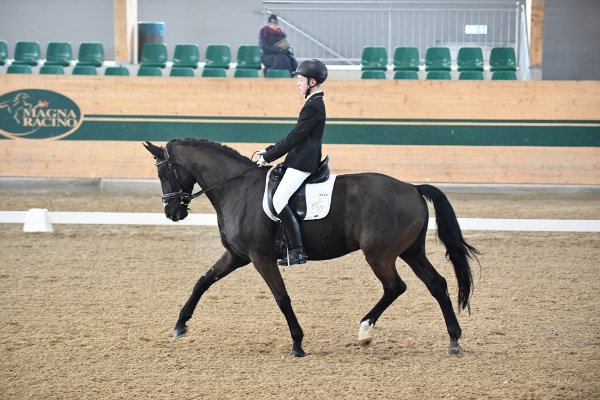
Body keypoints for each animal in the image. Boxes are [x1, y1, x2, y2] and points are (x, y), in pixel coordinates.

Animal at [144, 138, 478, 356]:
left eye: (162, 173)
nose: (172, 213)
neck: (236, 188)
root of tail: (412, 188)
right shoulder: (237, 255)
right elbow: (202, 281)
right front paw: (180, 326)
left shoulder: (260, 257)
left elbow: (282, 298)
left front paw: (297, 343)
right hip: (410, 251)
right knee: (437, 284)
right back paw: (454, 340)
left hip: (379, 255)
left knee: (396, 287)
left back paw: (365, 331)